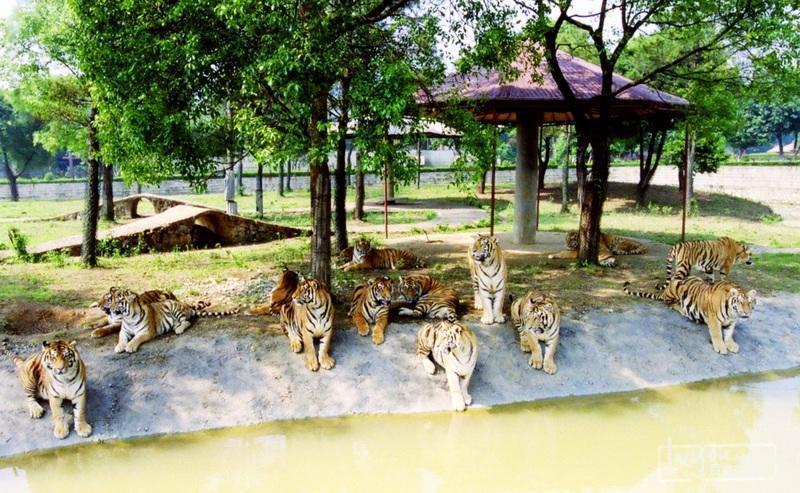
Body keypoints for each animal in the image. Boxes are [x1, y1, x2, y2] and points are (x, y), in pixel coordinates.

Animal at [108, 288, 238, 353]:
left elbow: (136, 338)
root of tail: (186, 306)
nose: (109, 308)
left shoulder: (147, 332)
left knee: (187, 322)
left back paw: (179, 330)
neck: (128, 317)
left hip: (174, 307)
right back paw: (176, 327)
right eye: (111, 300)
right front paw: (119, 347)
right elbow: (121, 338)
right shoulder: (124, 331)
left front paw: (130, 346)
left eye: (118, 301)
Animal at [624, 277, 757, 355]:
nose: (746, 313)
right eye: (740, 302)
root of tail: (665, 291)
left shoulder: (732, 321)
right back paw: (682, 310)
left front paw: (731, 345)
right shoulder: (714, 319)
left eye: (750, 302)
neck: (732, 313)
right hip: (676, 287)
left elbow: (729, 333)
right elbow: (717, 334)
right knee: (670, 303)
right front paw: (721, 347)